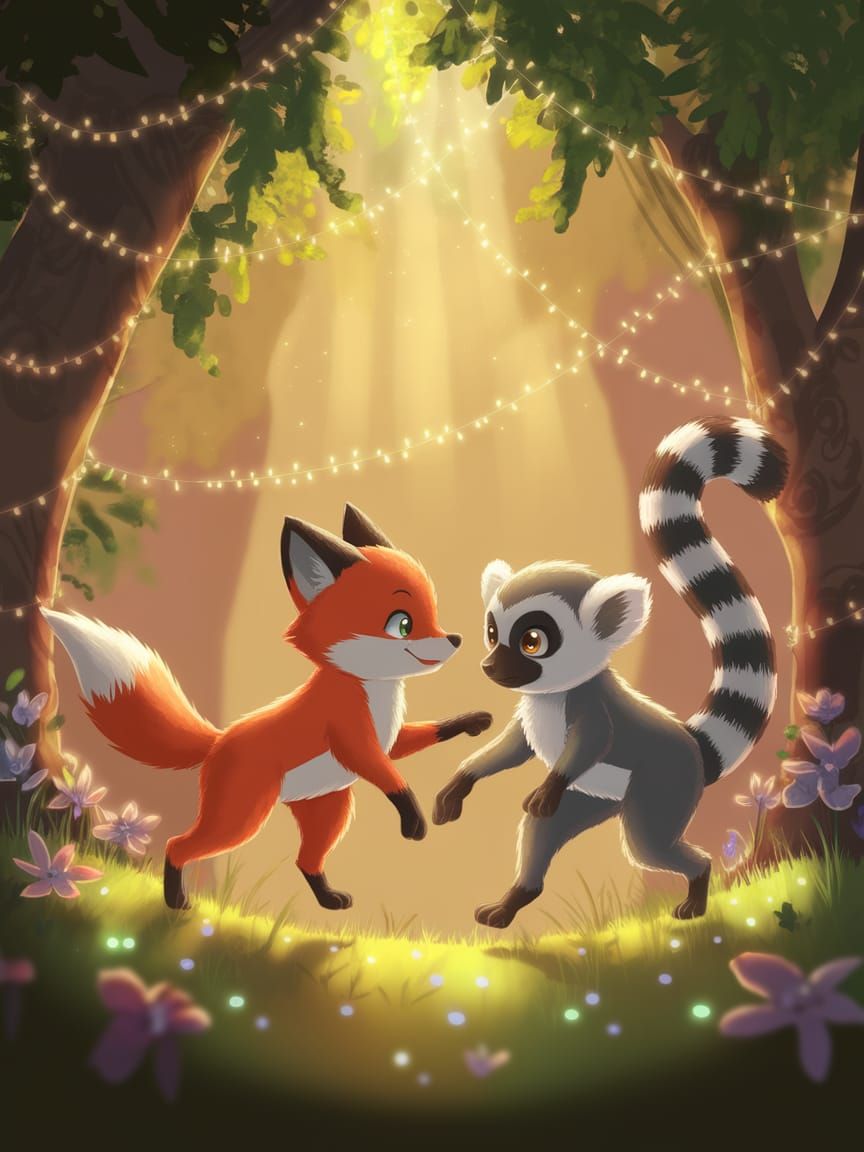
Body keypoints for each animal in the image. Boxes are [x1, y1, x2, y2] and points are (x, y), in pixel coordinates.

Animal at [43, 503, 492, 912]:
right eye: (402, 623)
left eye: (432, 613)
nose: (454, 639)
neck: (373, 690)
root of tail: (218, 740)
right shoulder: (351, 735)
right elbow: (391, 777)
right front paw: (411, 817)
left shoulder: (388, 741)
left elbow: (424, 735)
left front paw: (473, 722)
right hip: (241, 817)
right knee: (178, 844)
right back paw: (176, 900)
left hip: (328, 809)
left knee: (306, 860)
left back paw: (328, 899)